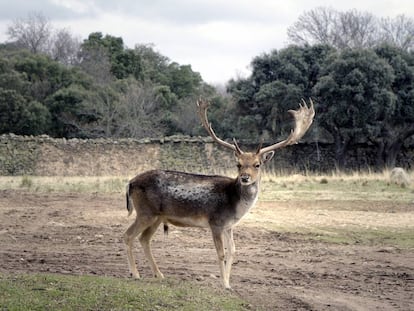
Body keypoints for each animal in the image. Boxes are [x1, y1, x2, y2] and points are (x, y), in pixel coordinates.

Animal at [123, 98, 314, 290]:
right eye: (238, 164)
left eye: (257, 164)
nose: (245, 177)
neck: (235, 205)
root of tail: (130, 183)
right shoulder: (215, 222)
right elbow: (221, 253)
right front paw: (224, 284)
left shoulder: (228, 225)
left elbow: (233, 251)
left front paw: (229, 283)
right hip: (145, 212)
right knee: (128, 235)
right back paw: (135, 274)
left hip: (157, 216)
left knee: (144, 239)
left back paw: (159, 274)